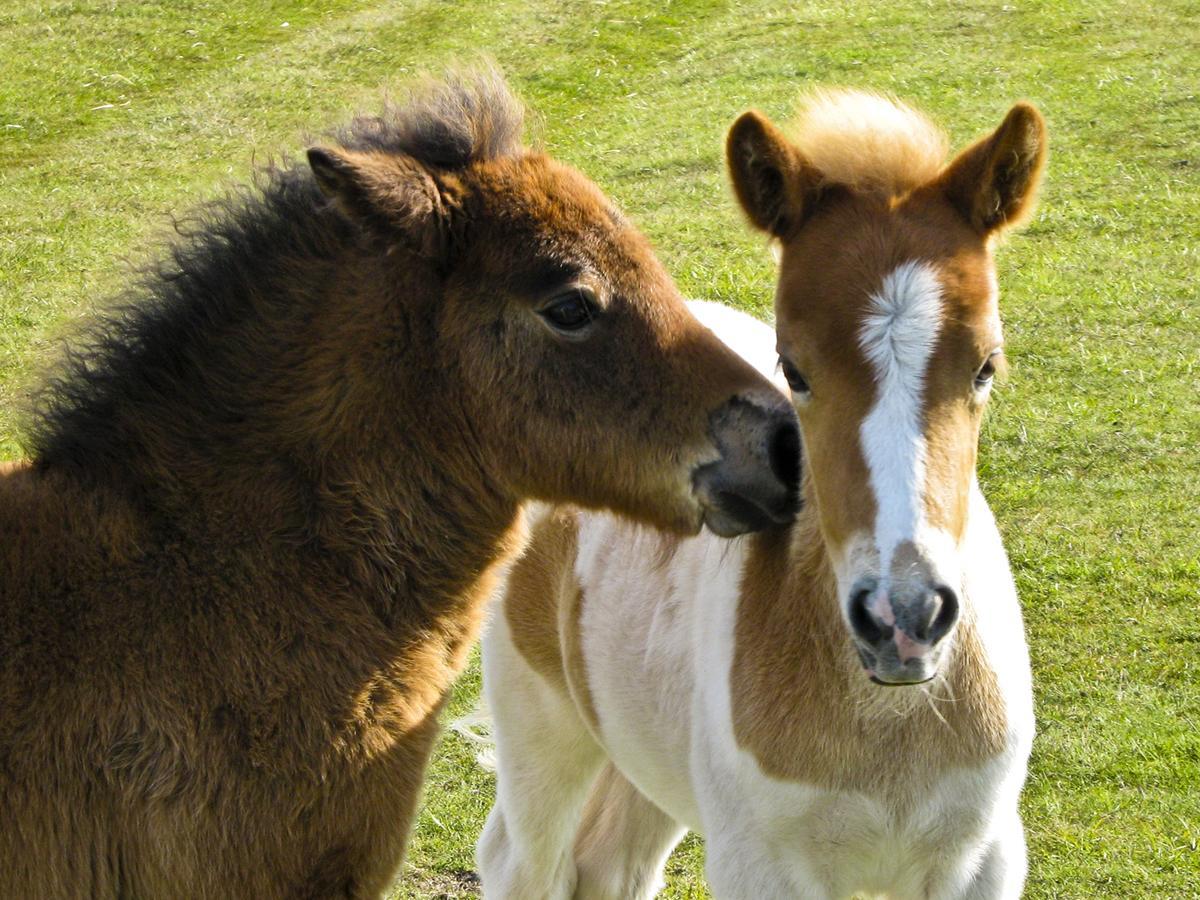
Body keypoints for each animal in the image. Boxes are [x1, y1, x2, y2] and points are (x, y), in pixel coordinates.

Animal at [472, 93, 1046, 900]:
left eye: (986, 366)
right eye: (792, 369)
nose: (902, 619)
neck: (889, 721)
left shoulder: (985, 857)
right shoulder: (759, 866)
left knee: (612, 865)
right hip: (539, 720)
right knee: (522, 862)